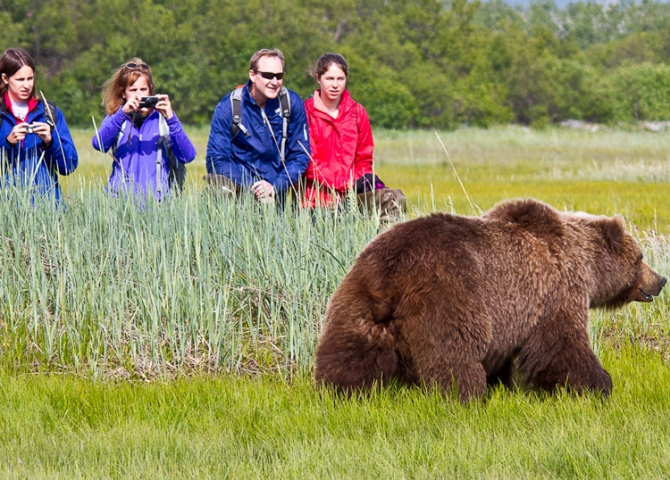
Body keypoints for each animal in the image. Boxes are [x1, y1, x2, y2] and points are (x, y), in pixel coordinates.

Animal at [316, 197, 668, 400]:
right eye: (640, 258)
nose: (661, 279)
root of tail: (393, 275)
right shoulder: (555, 292)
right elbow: (562, 346)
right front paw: (599, 385)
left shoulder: (515, 310)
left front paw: (505, 385)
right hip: (450, 296)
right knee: (453, 356)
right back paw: (465, 396)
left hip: (357, 295)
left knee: (348, 352)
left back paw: (338, 391)